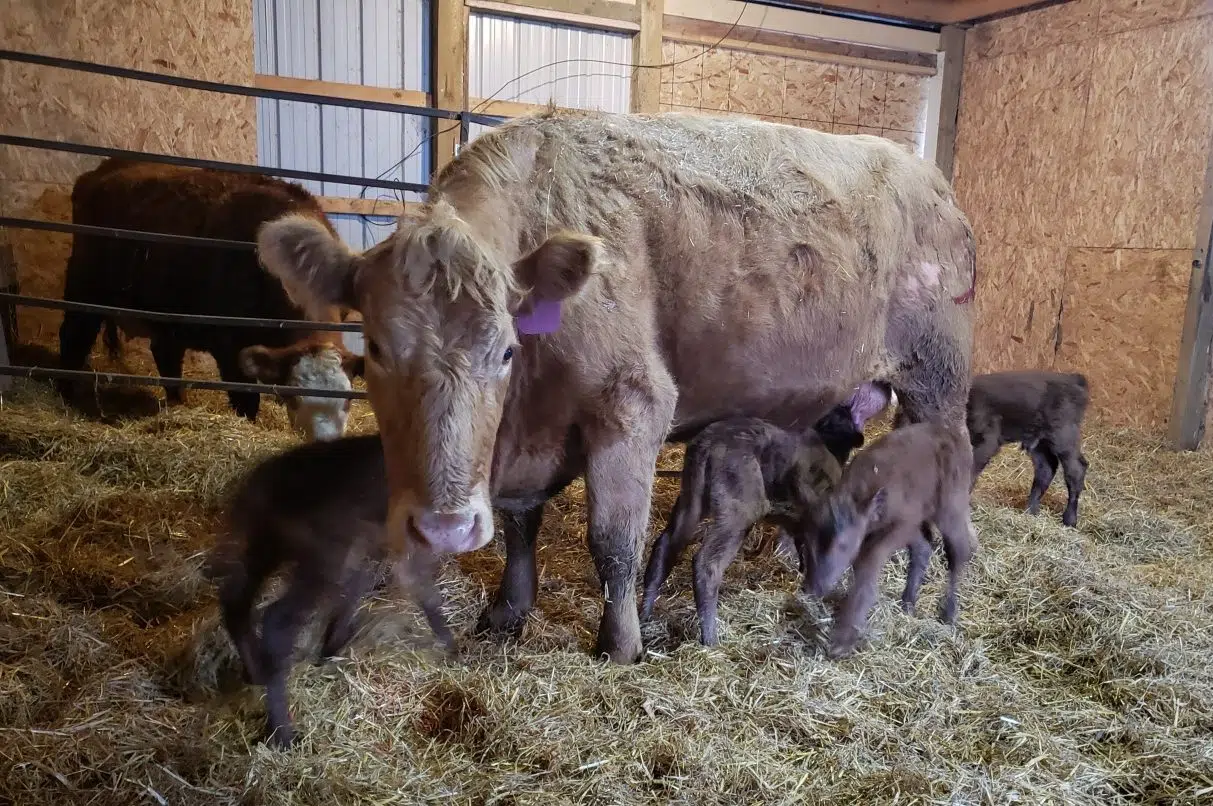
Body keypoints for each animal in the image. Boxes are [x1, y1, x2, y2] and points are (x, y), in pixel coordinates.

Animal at [56, 158, 363, 440]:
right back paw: (65, 397)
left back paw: (177, 403)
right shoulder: (229, 346)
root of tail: (103, 169)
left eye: (348, 399)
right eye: (294, 396)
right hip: (84, 288)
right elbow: (246, 401)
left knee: (165, 354)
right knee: (73, 337)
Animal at [255, 109, 976, 663]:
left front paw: (621, 642)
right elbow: (520, 523)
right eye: (375, 348)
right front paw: (508, 610)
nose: (444, 528)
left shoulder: (632, 405)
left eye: (504, 350)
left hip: (936, 379)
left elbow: (614, 540)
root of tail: (931, 180)